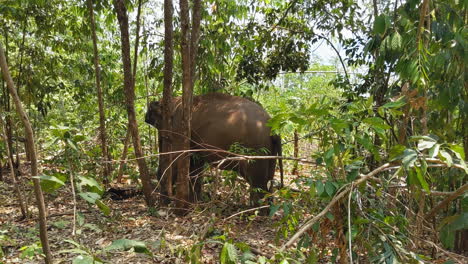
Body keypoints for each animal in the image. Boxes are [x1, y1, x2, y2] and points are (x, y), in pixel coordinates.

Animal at [144, 93, 284, 206]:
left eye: (164, 136)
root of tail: (274, 130)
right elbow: (195, 165)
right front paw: (194, 202)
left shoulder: (179, 131)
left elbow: (177, 159)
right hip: (269, 151)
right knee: (268, 179)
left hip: (256, 149)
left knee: (258, 181)